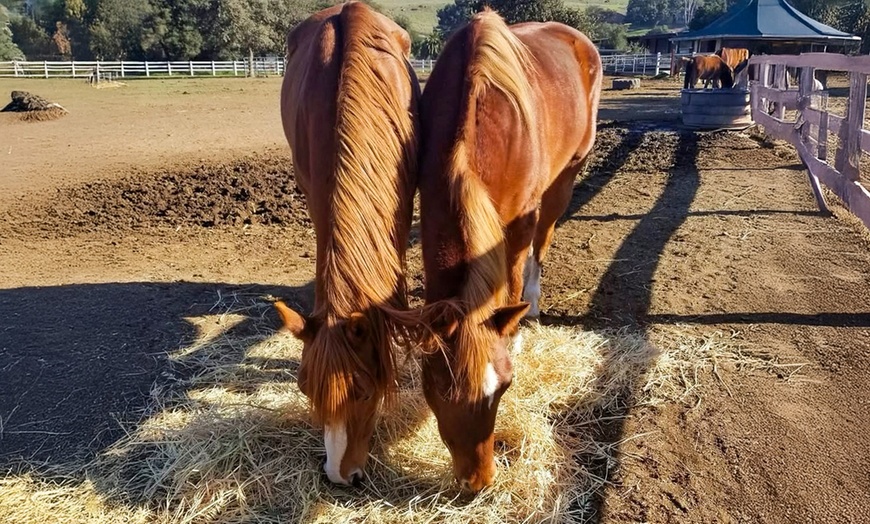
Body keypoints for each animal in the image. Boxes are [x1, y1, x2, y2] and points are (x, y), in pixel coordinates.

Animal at [418, 9, 601, 492]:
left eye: (505, 386)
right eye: (434, 390)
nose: (478, 481)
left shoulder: (521, 222)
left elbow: (516, 273)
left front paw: (516, 330)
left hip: (564, 180)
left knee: (543, 245)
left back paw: (532, 305)